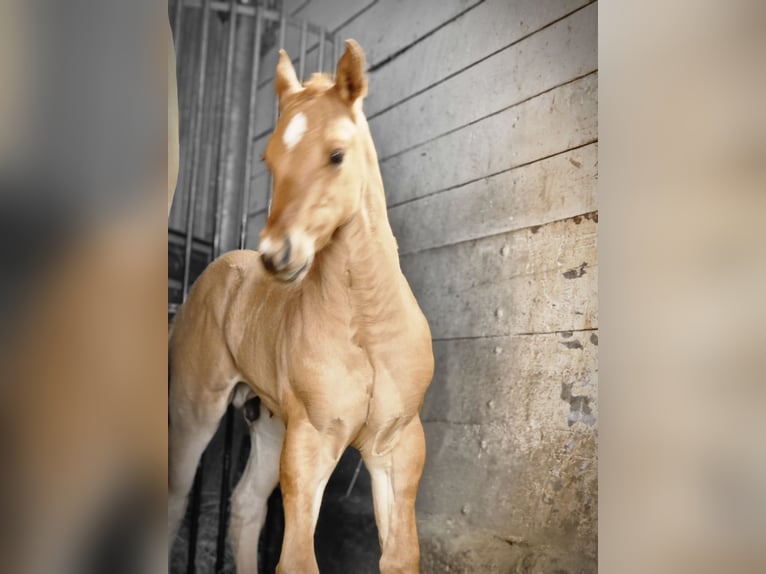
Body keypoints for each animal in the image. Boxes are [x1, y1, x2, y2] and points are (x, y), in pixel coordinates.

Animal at [168, 40, 434, 573]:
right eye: (269, 160)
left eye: (336, 154)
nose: (277, 255)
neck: (366, 326)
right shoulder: (311, 442)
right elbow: (296, 560)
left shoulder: (397, 447)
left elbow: (400, 559)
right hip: (196, 406)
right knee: (174, 498)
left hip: (268, 423)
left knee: (246, 506)